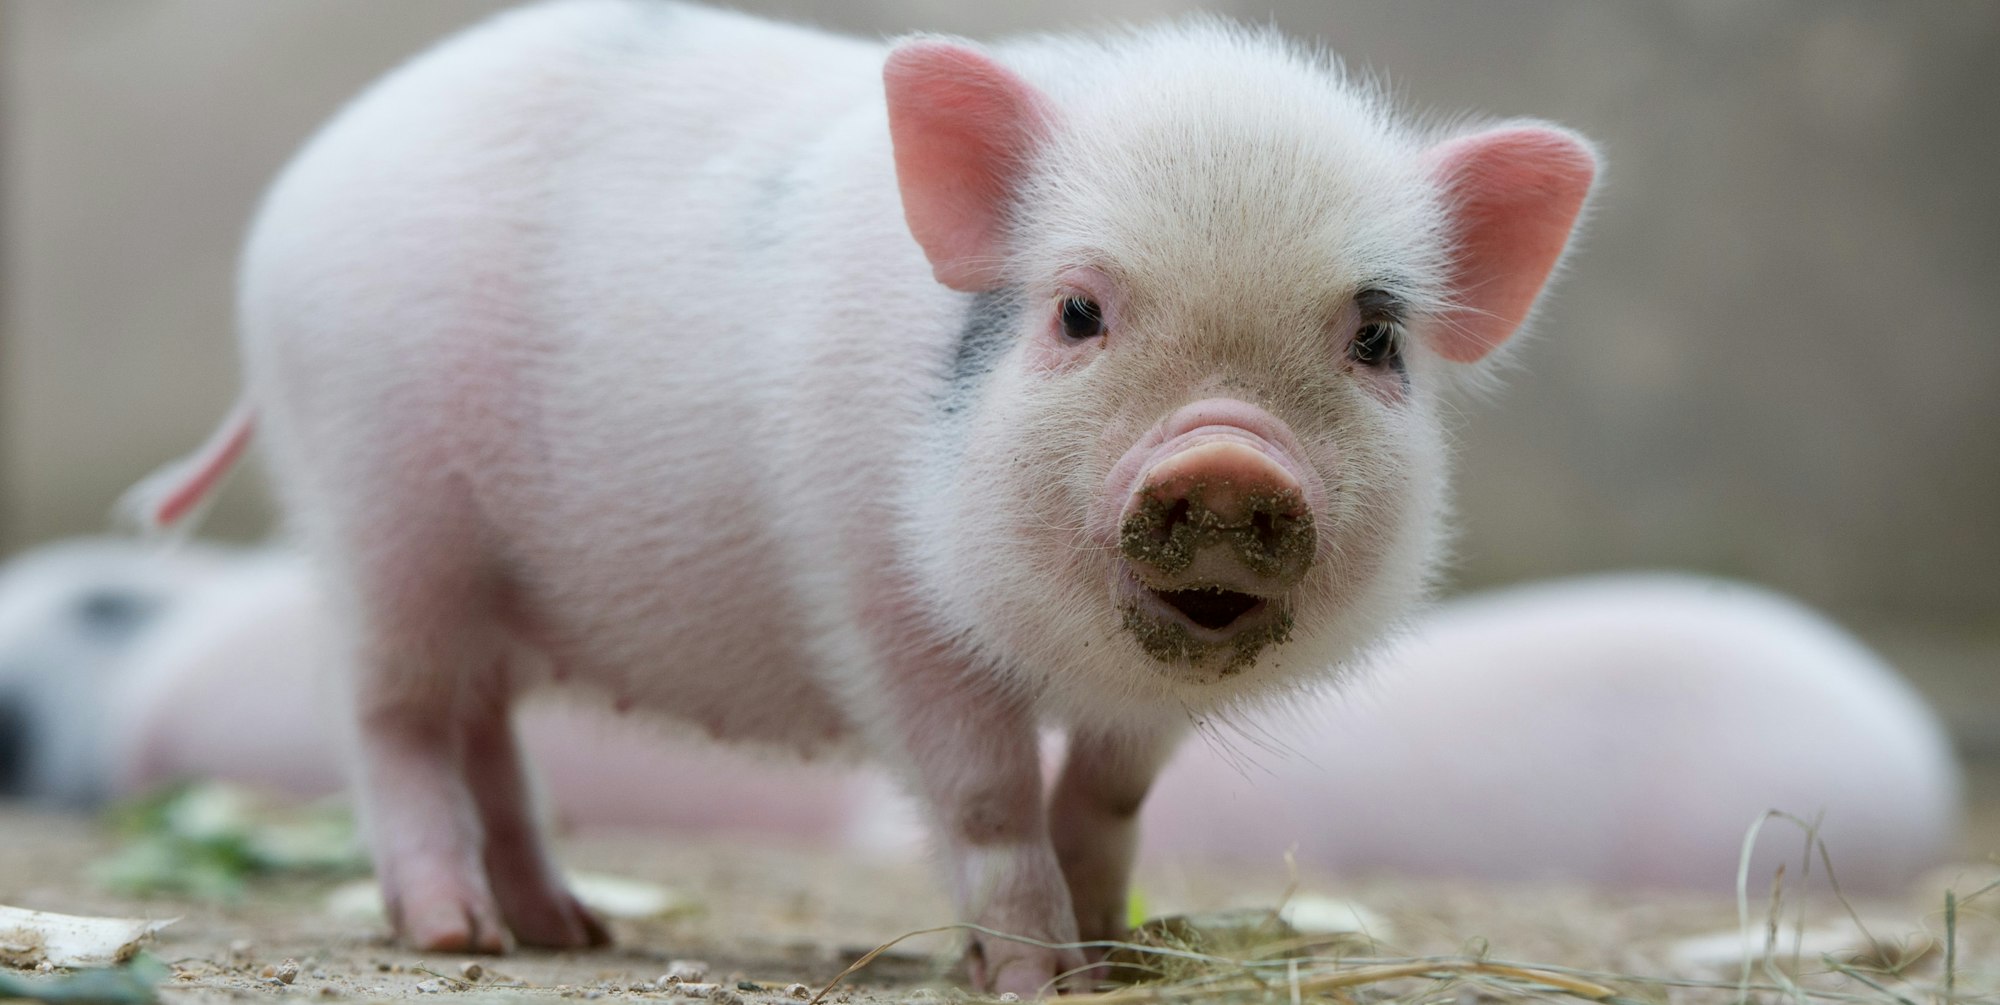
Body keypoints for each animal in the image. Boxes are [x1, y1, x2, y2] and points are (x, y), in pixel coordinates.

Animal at [127, 1, 1596, 992]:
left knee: (487, 735)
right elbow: (988, 796)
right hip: (381, 517)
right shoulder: (878, 599)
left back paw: (567, 927)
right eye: (1077, 312)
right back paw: (455, 932)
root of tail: (304, 185)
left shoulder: (1142, 700)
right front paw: (1037, 978)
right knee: (392, 723)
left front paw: (1113, 957)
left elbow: (1107, 804)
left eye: (1377, 340)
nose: (1228, 462)